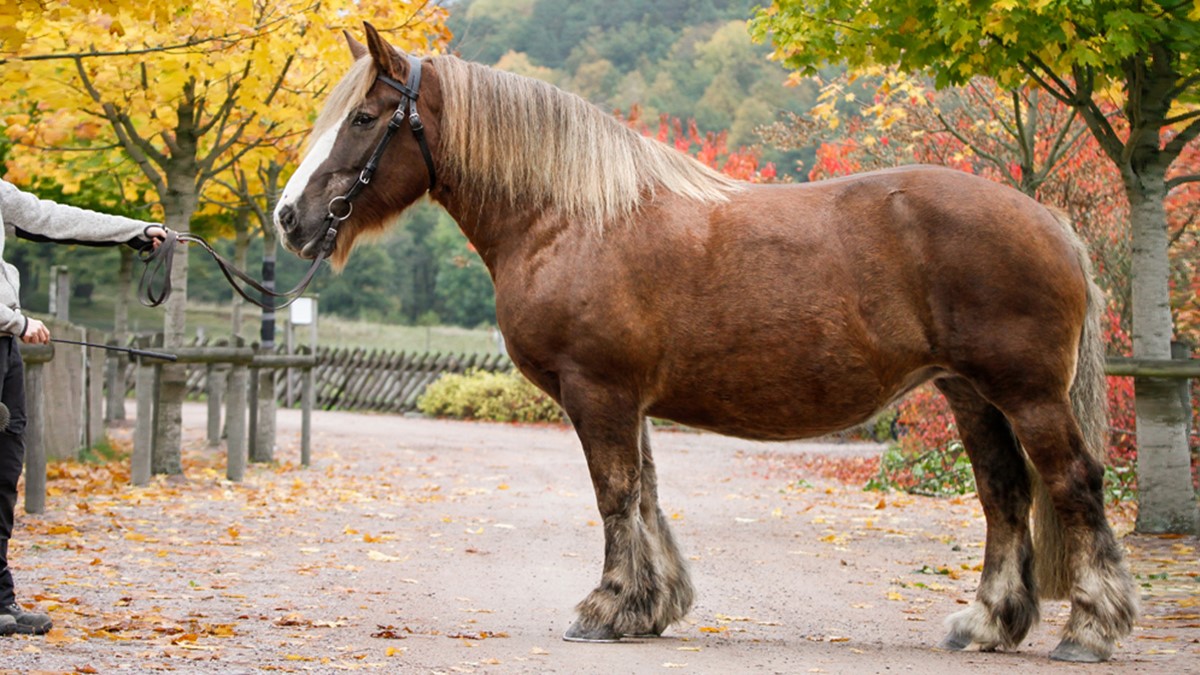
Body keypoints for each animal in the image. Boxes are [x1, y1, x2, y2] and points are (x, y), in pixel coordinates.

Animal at [276, 24, 1137, 658]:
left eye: (363, 119)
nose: (289, 218)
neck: (570, 217)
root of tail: (1049, 220)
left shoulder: (599, 391)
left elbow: (615, 494)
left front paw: (607, 606)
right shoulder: (628, 399)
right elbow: (646, 496)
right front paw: (651, 606)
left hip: (1026, 394)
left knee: (1073, 484)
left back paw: (1089, 629)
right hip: (970, 393)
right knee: (1005, 494)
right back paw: (987, 622)